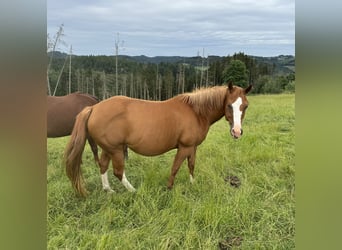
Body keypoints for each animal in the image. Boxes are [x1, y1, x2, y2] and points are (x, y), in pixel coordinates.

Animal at [65, 83, 251, 196]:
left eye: (245, 106)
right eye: (229, 105)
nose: (237, 131)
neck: (196, 111)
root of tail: (93, 108)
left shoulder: (193, 147)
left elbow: (191, 165)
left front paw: (193, 183)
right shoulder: (184, 147)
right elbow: (175, 167)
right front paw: (169, 188)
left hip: (108, 149)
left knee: (103, 166)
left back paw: (108, 189)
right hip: (116, 150)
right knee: (118, 172)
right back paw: (133, 190)